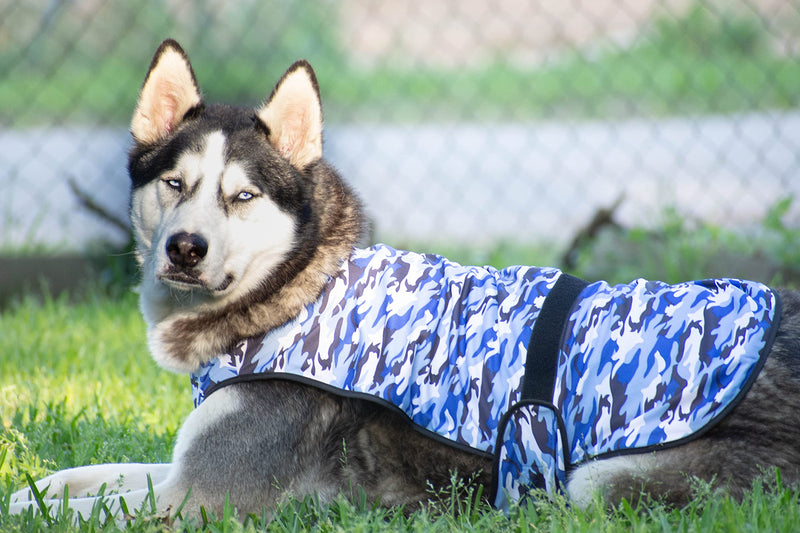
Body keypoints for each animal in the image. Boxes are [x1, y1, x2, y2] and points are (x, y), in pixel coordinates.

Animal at [9, 40, 800, 520]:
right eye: (174, 183)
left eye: (243, 196)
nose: (185, 248)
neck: (290, 292)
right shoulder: (180, 467)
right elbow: (85, 478)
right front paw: (32, 487)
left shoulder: (202, 497)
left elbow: (90, 511)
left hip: (593, 481)